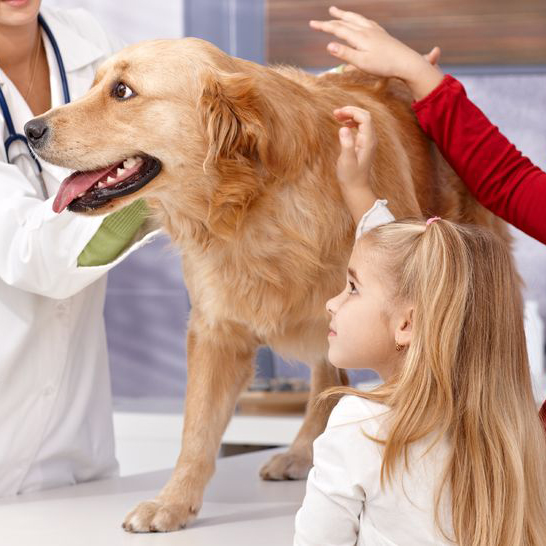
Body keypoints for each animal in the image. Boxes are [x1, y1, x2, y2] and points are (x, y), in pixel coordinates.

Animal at [26, 39, 506, 532]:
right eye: (94, 84)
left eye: (122, 91)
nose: (30, 129)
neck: (252, 201)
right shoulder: (215, 329)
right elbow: (197, 427)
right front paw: (173, 502)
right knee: (327, 378)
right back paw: (302, 451)